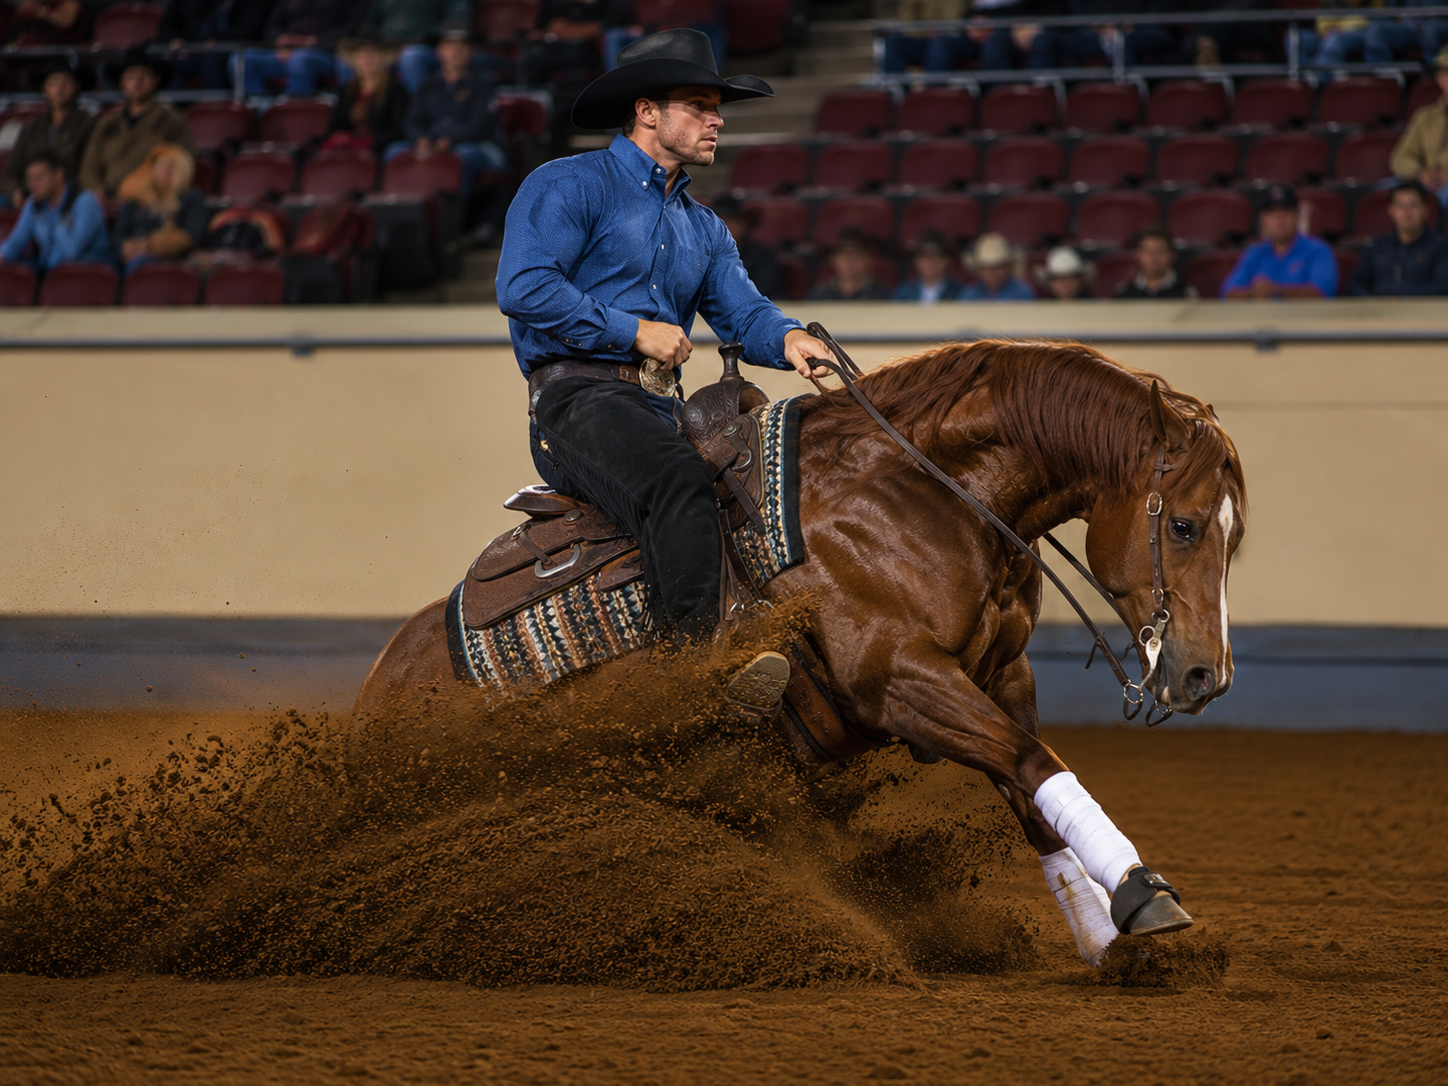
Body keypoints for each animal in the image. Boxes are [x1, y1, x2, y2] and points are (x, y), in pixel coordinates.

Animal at [352, 338, 1246, 967]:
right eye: (1183, 525)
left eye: (1234, 537)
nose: (1205, 674)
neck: (919, 493)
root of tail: (377, 693)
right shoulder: (901, 682)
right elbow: (1032, 763)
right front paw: (1142, 894)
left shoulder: (1003, 675)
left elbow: (1035, 794)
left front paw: (1106, 940)